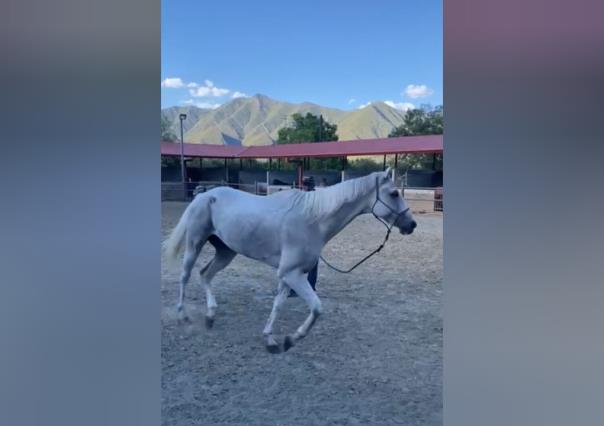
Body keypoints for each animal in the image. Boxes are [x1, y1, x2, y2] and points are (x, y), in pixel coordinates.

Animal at [163, 169, 416, 352]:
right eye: (394, 193)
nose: (411, 224)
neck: (313, 219)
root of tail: (204, 195)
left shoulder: (290, 275)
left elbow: (278, 305)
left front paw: (271, 340)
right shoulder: (291, 273)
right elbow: (316, 308)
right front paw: (292, 339)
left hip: (226, 252)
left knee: (205, 275)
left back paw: (210, 316)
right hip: (195, 243)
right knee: (185, 276)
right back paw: (182, 316)